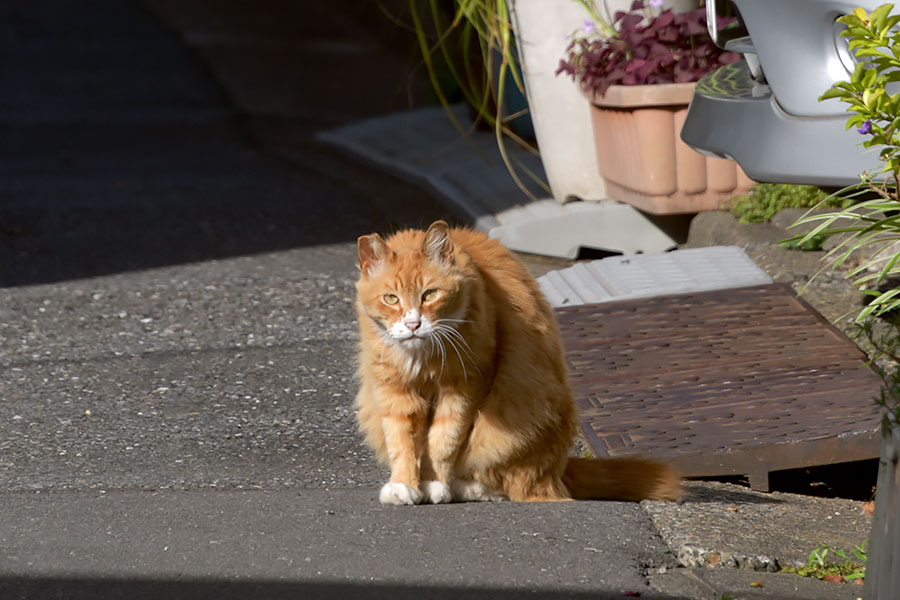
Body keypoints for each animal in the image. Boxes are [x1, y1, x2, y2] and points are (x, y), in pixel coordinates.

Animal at [356, 218, 680, 504]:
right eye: (391, 299)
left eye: (430, 294)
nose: (413, 324)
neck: (422, 358)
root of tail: (561, 467)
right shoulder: (394, 391)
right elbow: (402, 443)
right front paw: (404, 486)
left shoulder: (465, 385)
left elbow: (443, 442)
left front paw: (434, 484)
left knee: (515, 483)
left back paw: (465, 487)